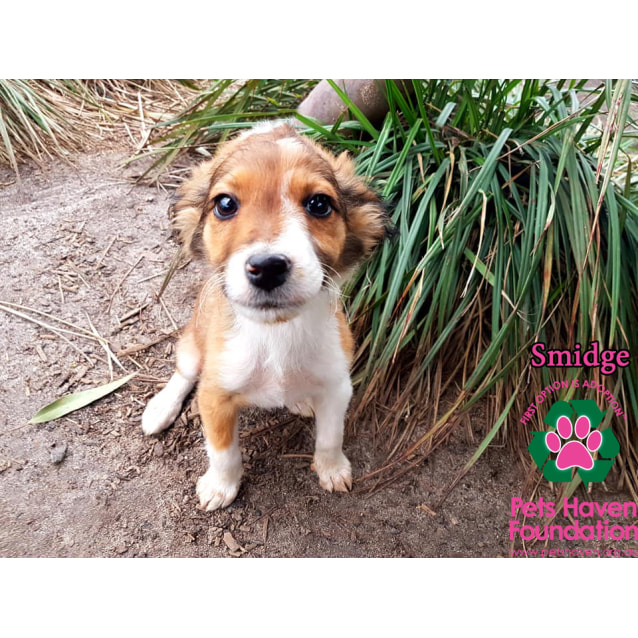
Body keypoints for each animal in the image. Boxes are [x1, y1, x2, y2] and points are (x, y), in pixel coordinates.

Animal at [142, 120, 388, 512]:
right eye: (225, 204)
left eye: (319, 203)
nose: (268, 267)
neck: (276, 334)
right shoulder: (214, 395)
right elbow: (223, 452)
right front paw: (220, 487)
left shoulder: (338, 385)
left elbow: (331, 437)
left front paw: (332, 469)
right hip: (193, 348)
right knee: (183, 374)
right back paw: (161, 408)